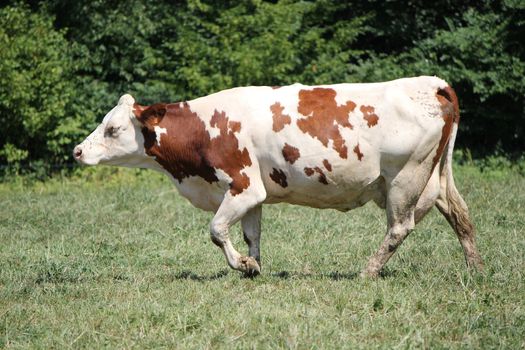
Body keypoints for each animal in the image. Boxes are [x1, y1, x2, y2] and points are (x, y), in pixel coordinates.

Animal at [73, 77, 484, 278]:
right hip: (435, 179)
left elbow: (216, 230)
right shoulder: (252, 193)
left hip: (405, 178)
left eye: (111, 128)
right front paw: (253, 266)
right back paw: (476, 270)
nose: (77, 151)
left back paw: (368, 271)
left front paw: (242, 265)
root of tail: (431, 82)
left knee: (400, 227)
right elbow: (250, 234)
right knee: (461, 216)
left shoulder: (242, 185)